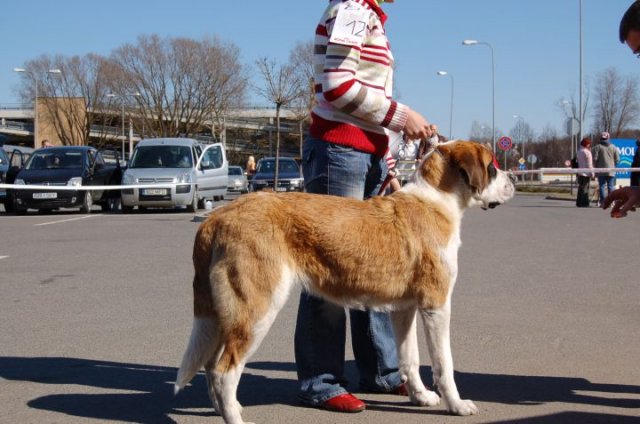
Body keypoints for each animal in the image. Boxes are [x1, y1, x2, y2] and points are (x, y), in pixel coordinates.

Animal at [174, 141, 516, 422]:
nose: (512, 180)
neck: (436, 200)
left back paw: (223, 408)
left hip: (225, 315)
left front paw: (420, 397)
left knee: (210, 365)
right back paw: (234, 416)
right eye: (492, 166)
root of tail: (217, 217)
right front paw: (456, 405)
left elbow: (410, 358)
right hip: (256, 310)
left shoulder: (404, 310)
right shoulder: (437, 306)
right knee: (224, 370)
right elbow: (444, 364)